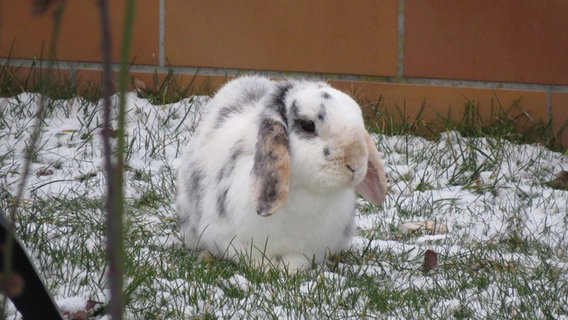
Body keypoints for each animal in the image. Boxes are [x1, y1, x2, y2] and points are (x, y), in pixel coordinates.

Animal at [176, 75, 386, 272]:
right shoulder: (235, 241)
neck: (305, 192)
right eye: (308, 125)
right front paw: (268, 269)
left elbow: (297, 261)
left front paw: (288, 270)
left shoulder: (311, 249)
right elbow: (252, 259)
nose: (356, 163)